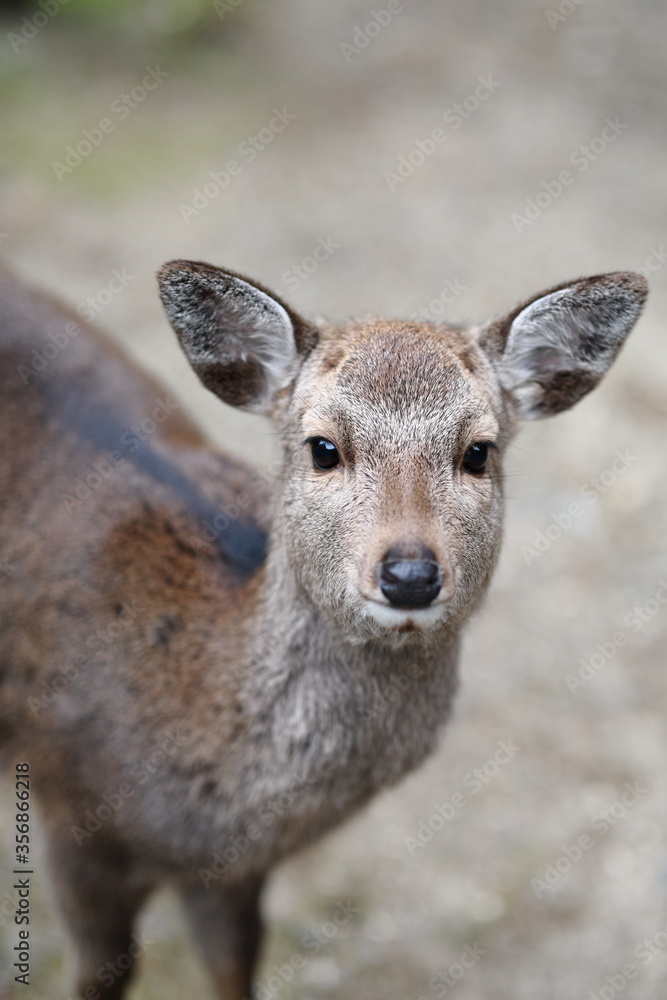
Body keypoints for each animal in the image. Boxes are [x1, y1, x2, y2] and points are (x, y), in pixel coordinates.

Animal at [0, 262, 648, 996]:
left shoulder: (233, 870)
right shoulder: (69, 812)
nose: (409, 573)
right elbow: (101, 976)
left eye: (478, 452)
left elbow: (233, 970)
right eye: (324, 448)